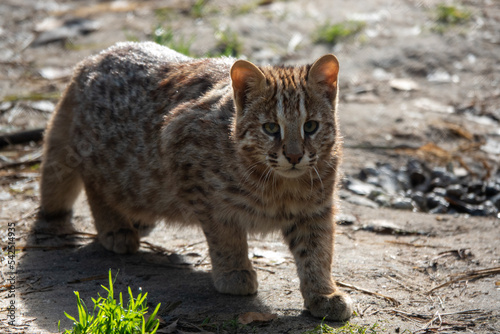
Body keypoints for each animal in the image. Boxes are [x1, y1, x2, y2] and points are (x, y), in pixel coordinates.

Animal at [39, 41, 352, 320]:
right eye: (271, 128)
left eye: (311, 126)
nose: (295, 156)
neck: (281, 183)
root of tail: (91, 60)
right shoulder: (196, 177)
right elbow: (225, 234)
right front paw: (233, 272)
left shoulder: (316, 209)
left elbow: (318, 251)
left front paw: (323, 293)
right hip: (111, 164)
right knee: (94, 184)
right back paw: (115, 228)